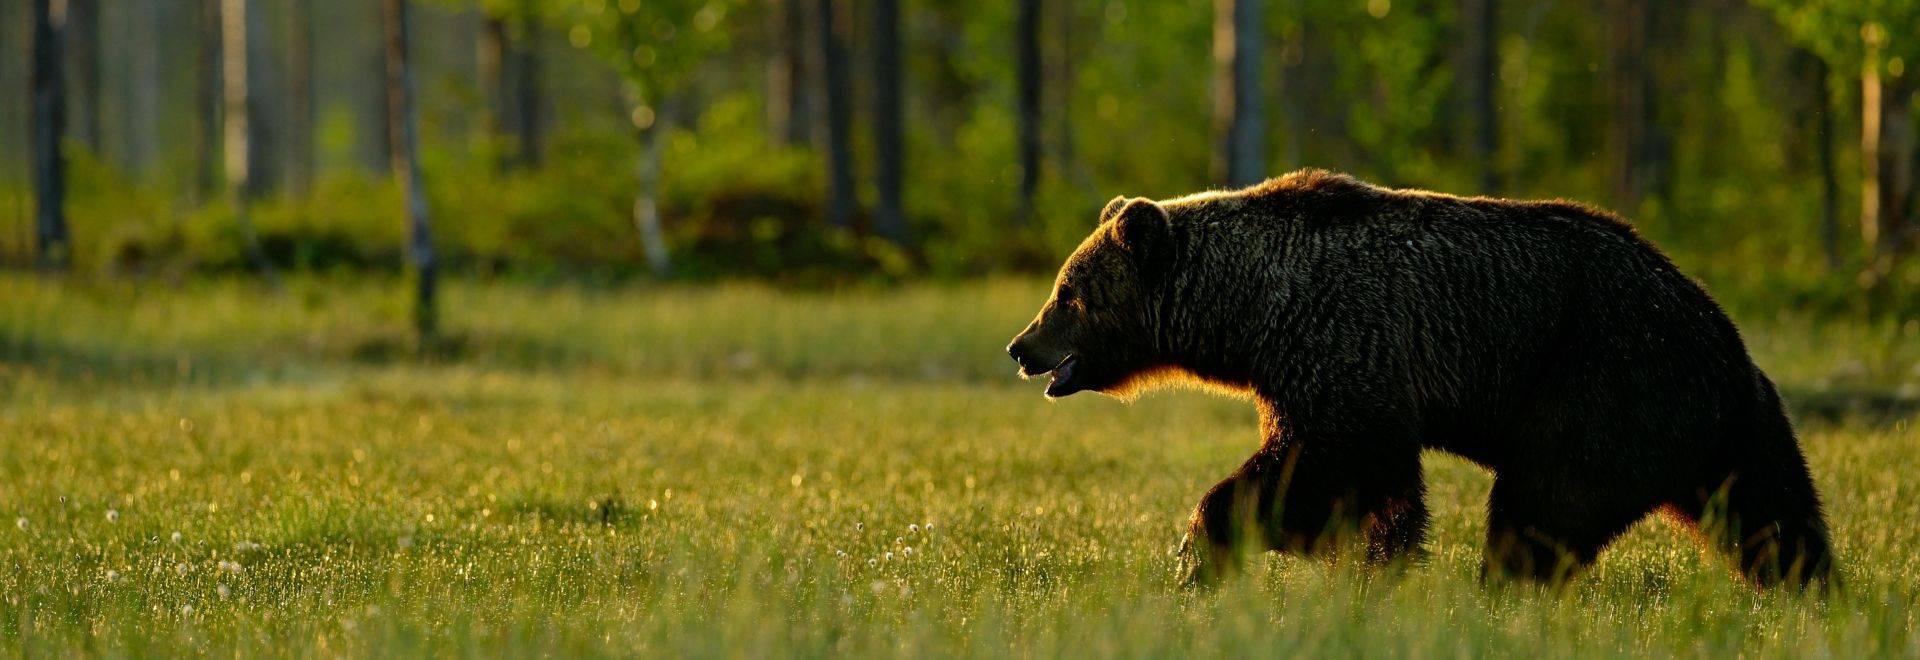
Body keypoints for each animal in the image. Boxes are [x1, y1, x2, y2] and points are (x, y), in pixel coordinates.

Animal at [1006, 168, 1827, 587]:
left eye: (1068, 293)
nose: (1021, 346)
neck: (1251, 311)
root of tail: (1719, 332)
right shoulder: (1320, 368)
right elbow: (1376, 482)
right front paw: (1378, 555)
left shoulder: (1343, 344)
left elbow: (1325, 464)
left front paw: (1212, 544)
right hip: (1727, 424)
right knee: (1774, 512)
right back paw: (1812, 590)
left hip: (1605, 383)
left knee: (1541, 507)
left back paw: (1503, 588)